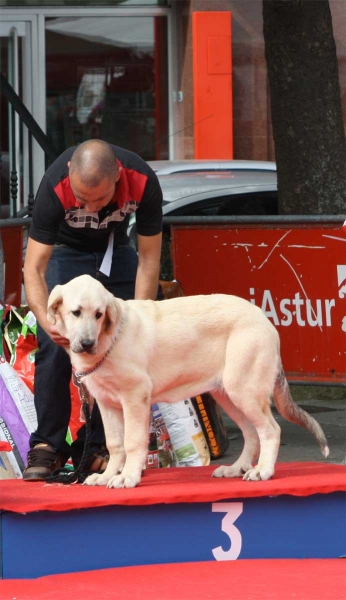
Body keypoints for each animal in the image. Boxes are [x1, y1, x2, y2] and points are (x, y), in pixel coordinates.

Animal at [46, 276, 330, 488]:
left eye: (99, 314)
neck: (110, 340)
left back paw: (263, 471)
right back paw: (237, 468)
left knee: (271, 430)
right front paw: (107, 476)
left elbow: (133, 442)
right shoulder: (106, 403)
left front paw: (128, 477)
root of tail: (264, 319)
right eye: (76, 313)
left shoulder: (135, 398)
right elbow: (115, 444)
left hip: (245, 391)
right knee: (252, 434)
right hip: (228, 395)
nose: (87, 344)